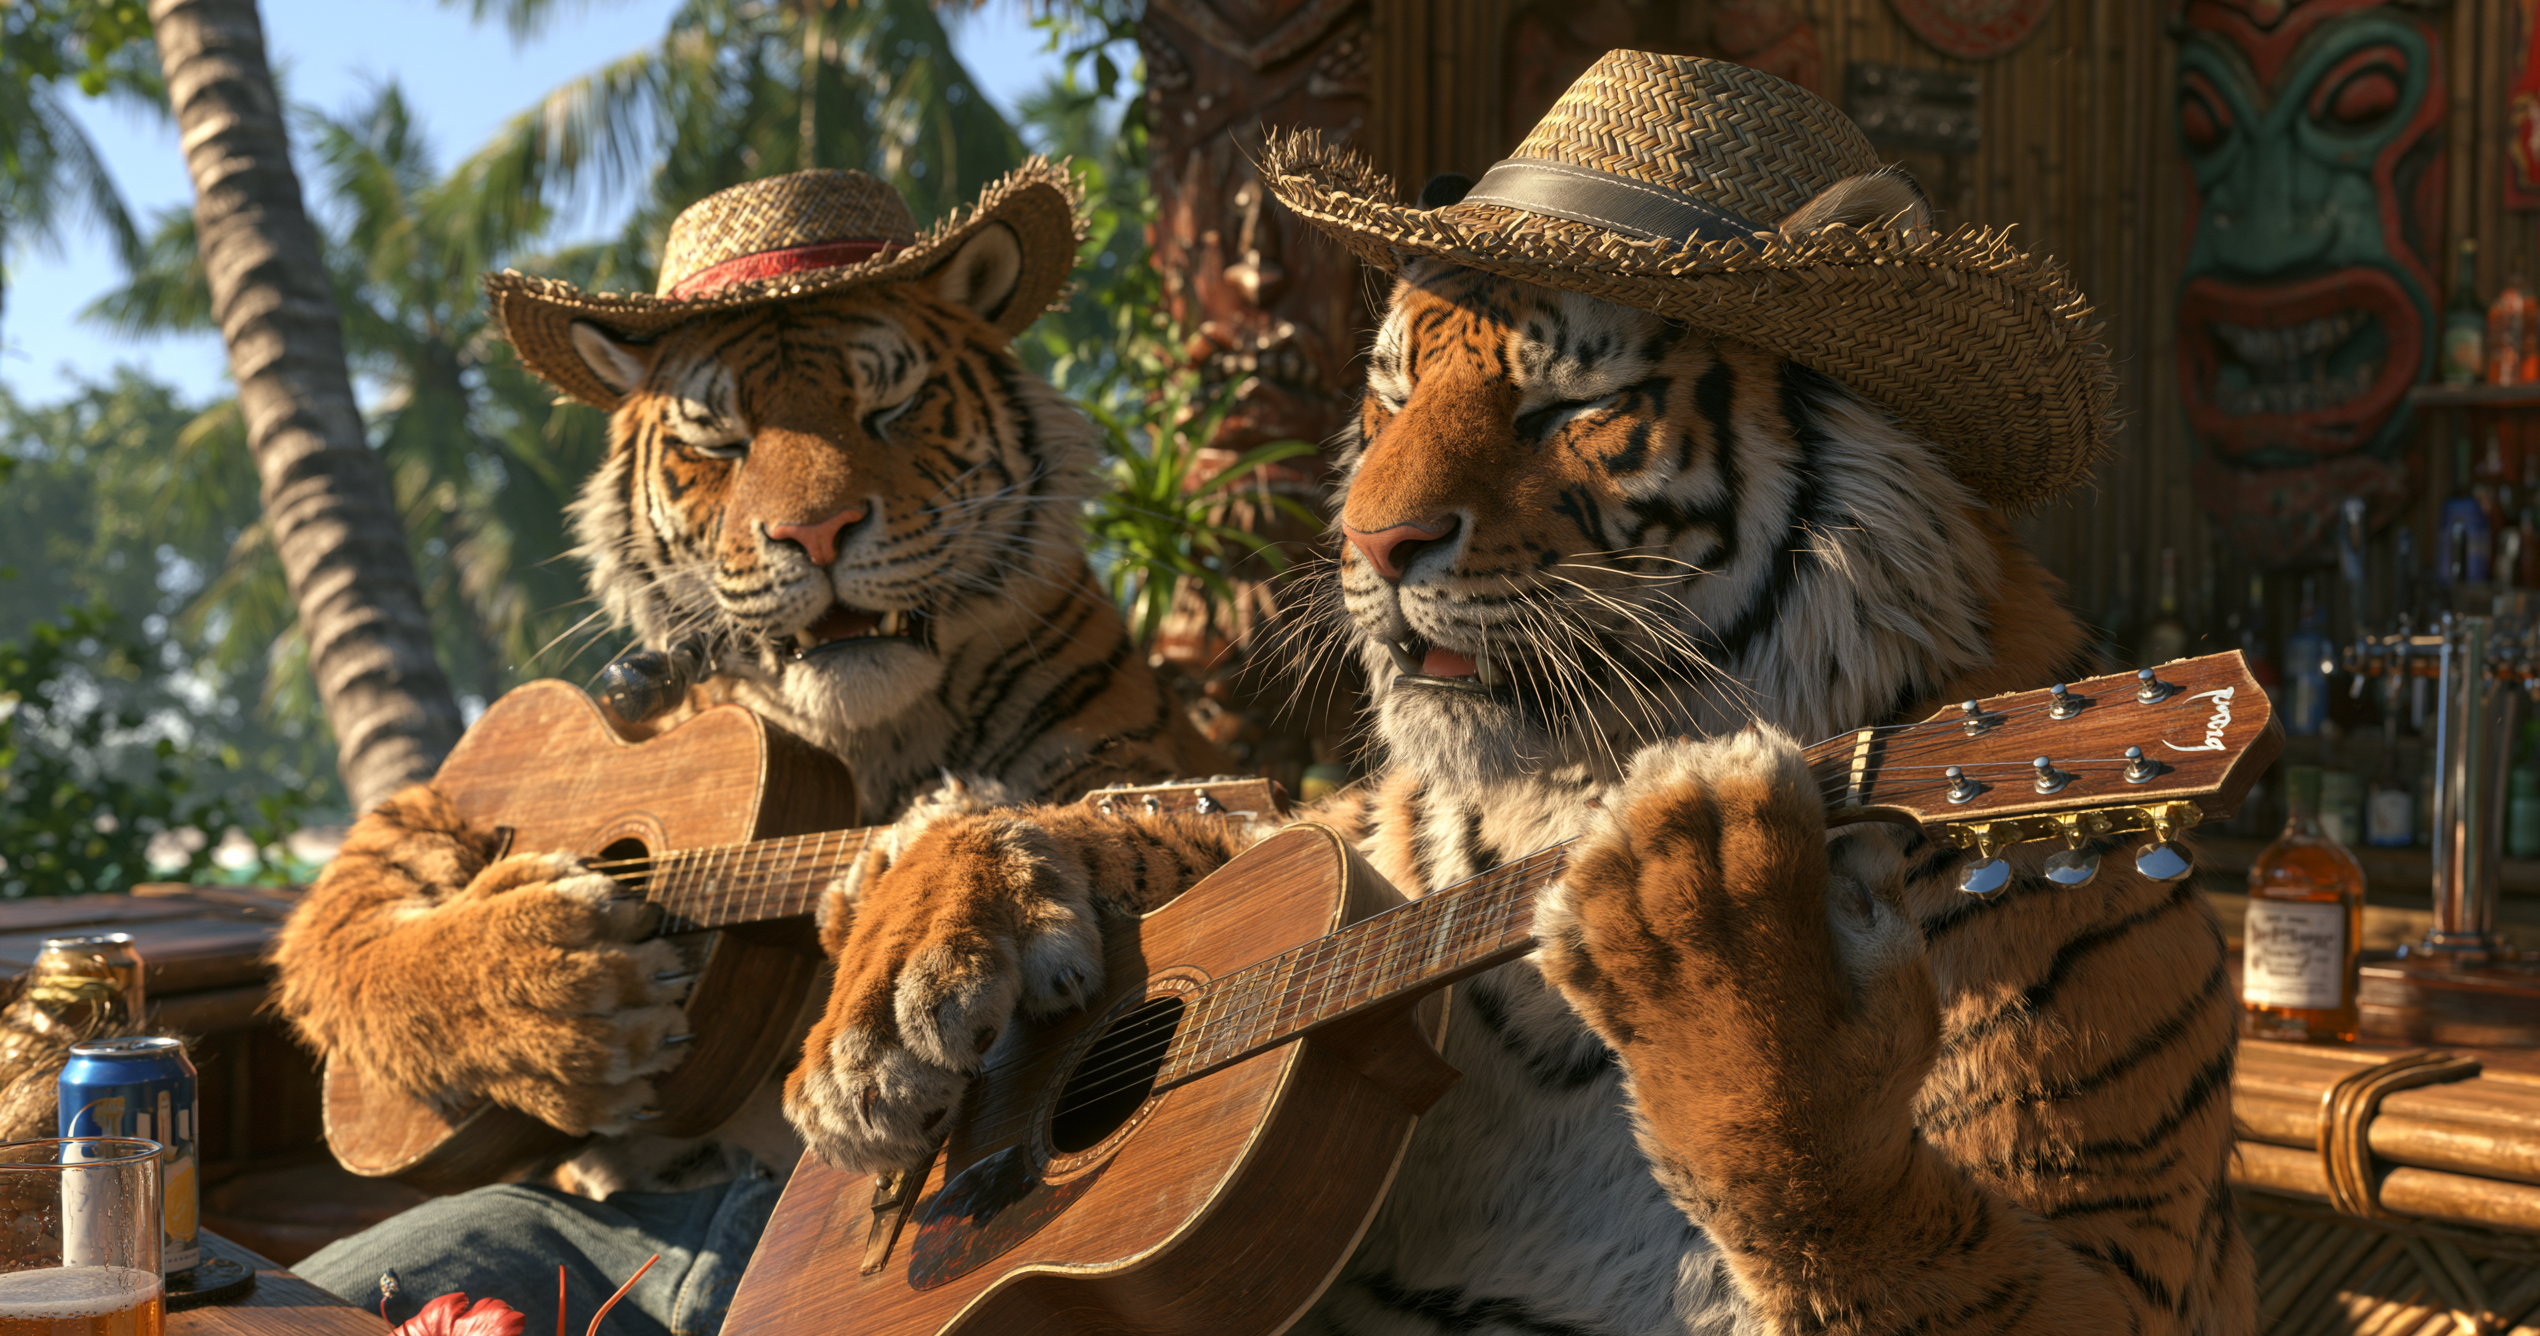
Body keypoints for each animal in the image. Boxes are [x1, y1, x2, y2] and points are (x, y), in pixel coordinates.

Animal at [777, 173, 2255, 1334]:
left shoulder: (2113, 1244)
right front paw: (916, 941)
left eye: (1565, 409)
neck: (1574, 780)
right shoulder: (1359, 835)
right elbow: (1224, 812)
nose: (1372, 545)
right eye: (1388, 399)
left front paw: (1727, 957)